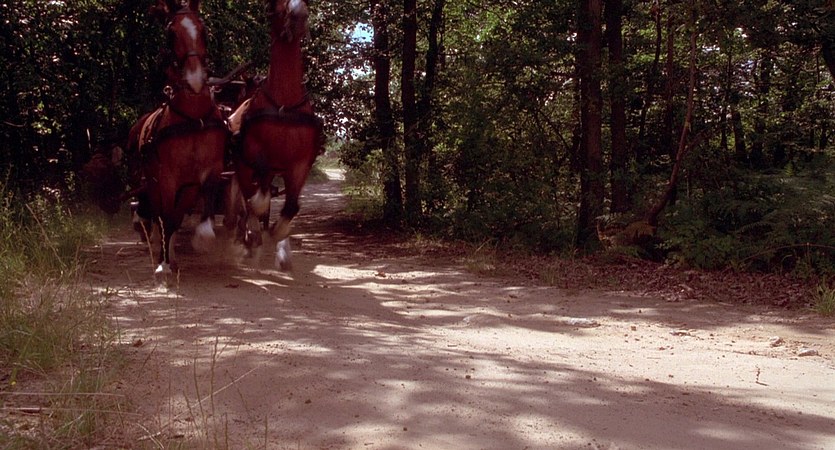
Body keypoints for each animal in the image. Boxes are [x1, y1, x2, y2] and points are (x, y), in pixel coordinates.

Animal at [127, 0, 228, 276]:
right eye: (170, 34)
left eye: (203, 30)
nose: (195, 79)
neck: (193, 118)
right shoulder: (167, 179)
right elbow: (165, 218)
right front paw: (162, 263)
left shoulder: (207, 174)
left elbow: (195, 211)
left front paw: (202, 239)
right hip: (148, 182)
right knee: (155, 214)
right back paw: (157, 249)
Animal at [226, 0, 323, 270]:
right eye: (275, 6)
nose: (299, 14)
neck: (284, 106)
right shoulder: (256, 158)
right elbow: (257, 201)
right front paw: (255, 238)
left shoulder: (300, 164)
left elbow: (290, 206)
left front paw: (279, 238)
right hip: (241, 166)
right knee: (246, 199)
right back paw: (248, 239)